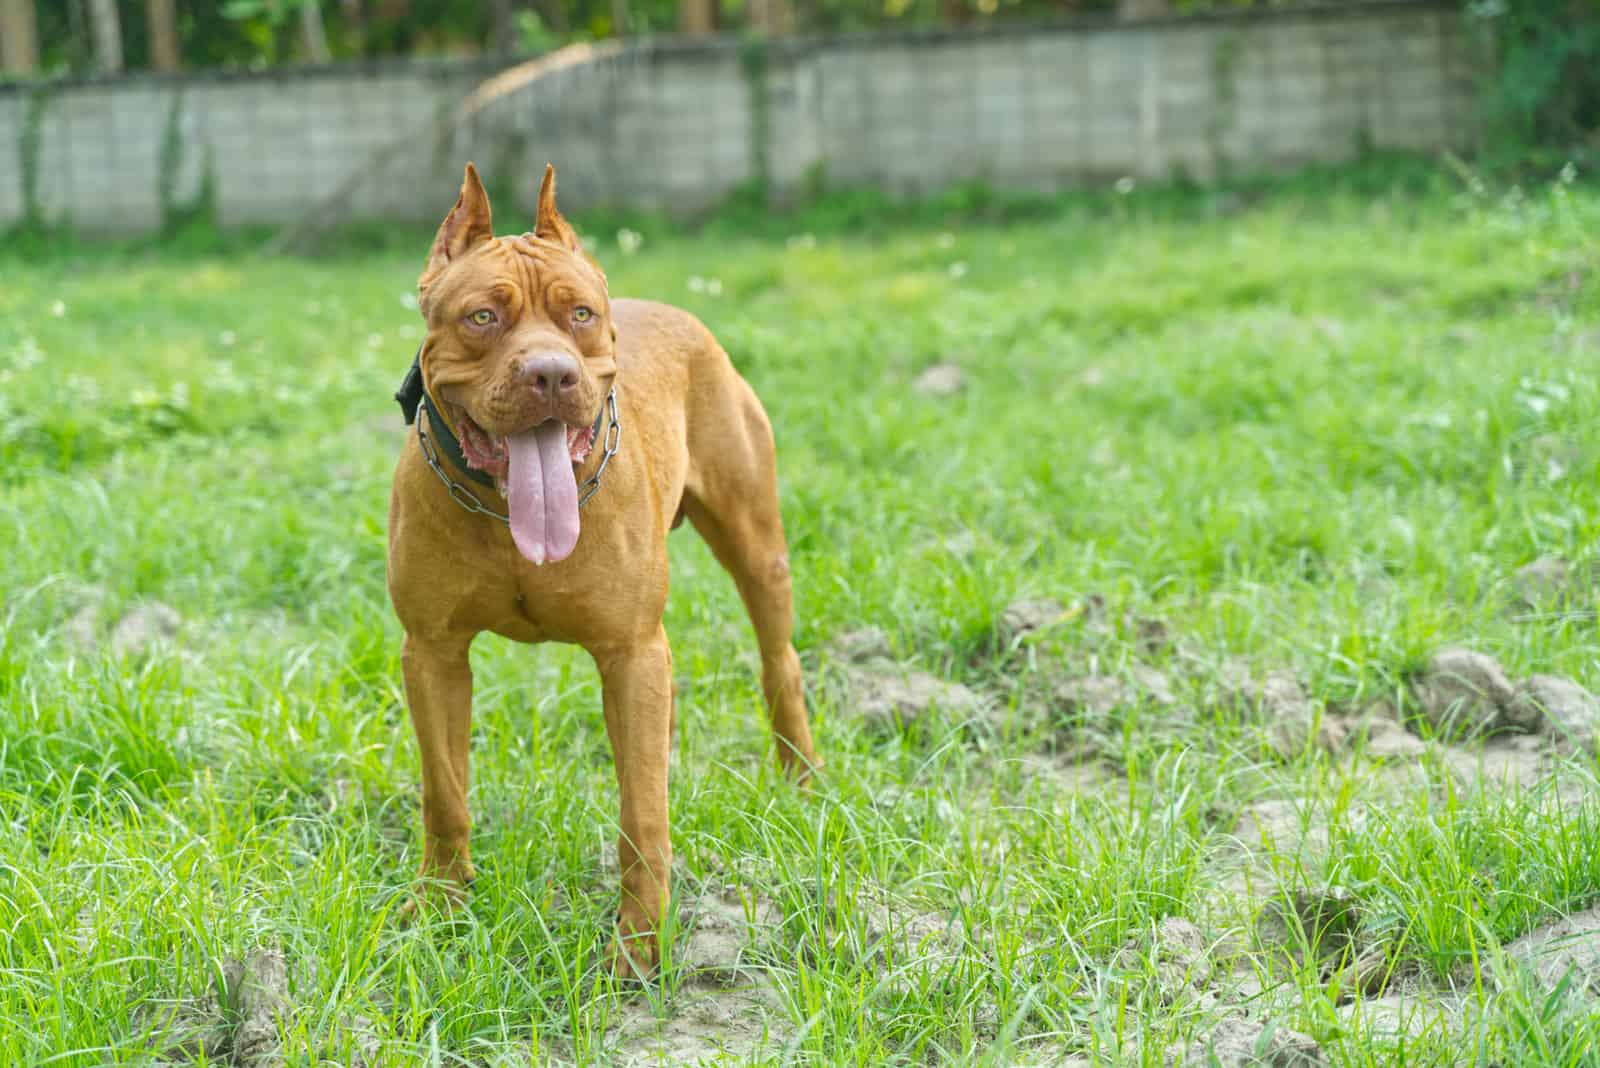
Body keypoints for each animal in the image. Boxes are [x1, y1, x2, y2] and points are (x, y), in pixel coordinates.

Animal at [384, 163, 812, 972]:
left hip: (757, 550)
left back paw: (803, 781)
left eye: (579, 314)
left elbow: (642, 813)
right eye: (482, 318)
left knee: (781, 663)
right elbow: (444, 792)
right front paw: (439, 911)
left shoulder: (632, 652)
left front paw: (640, 947)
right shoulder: (432, 654)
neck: (504, 511)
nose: (551, 375)